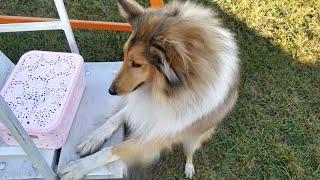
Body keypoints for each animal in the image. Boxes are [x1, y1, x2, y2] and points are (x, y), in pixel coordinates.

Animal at [58, 0, 239, 179]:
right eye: (124, 54)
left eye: (137, 64)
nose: (111, 91)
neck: (161, 92)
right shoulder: (142, 107)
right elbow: (114, 119)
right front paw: (92, 139)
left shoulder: (157, 136)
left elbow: (111, 151)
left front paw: (77, 168)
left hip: (196, 136)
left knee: (190, 151)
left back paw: (189, 167)